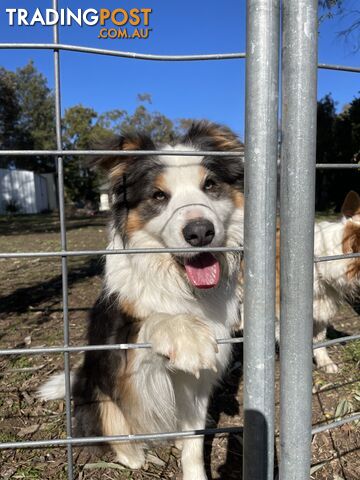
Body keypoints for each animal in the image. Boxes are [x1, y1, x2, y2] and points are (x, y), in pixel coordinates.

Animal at [39, 121, 245, 480]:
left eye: (210, 185)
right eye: (159, 196)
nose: (200, 232)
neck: (179, 284)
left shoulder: (197, 385)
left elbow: (194, 444)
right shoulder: (119, 350)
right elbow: (149, 323)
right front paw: (186, 335)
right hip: (96, 391)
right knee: (114, 430)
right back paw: (133, 454)